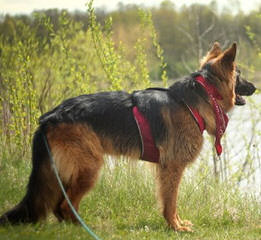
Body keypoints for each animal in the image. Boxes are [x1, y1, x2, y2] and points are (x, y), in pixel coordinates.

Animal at [0, 42, 256, 232]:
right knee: (64, 205)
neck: (199, 97)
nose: (255, 87)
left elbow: (169, 201)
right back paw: (82, 229)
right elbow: (171, 201)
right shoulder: (172, 168)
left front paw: (176, 223)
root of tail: (48, 117)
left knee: (59, 206)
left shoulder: (165, 169)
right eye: (240, 75)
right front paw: (175, 226)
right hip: (89, 167)